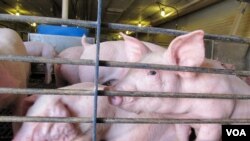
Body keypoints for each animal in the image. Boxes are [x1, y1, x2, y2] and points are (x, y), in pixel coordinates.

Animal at [108, 30, 250, 141]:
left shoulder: (215, 119)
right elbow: (181, 135)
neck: (188, 112)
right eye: (130, 69)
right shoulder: (179, 121)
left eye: (153, 72)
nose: (111, 91)